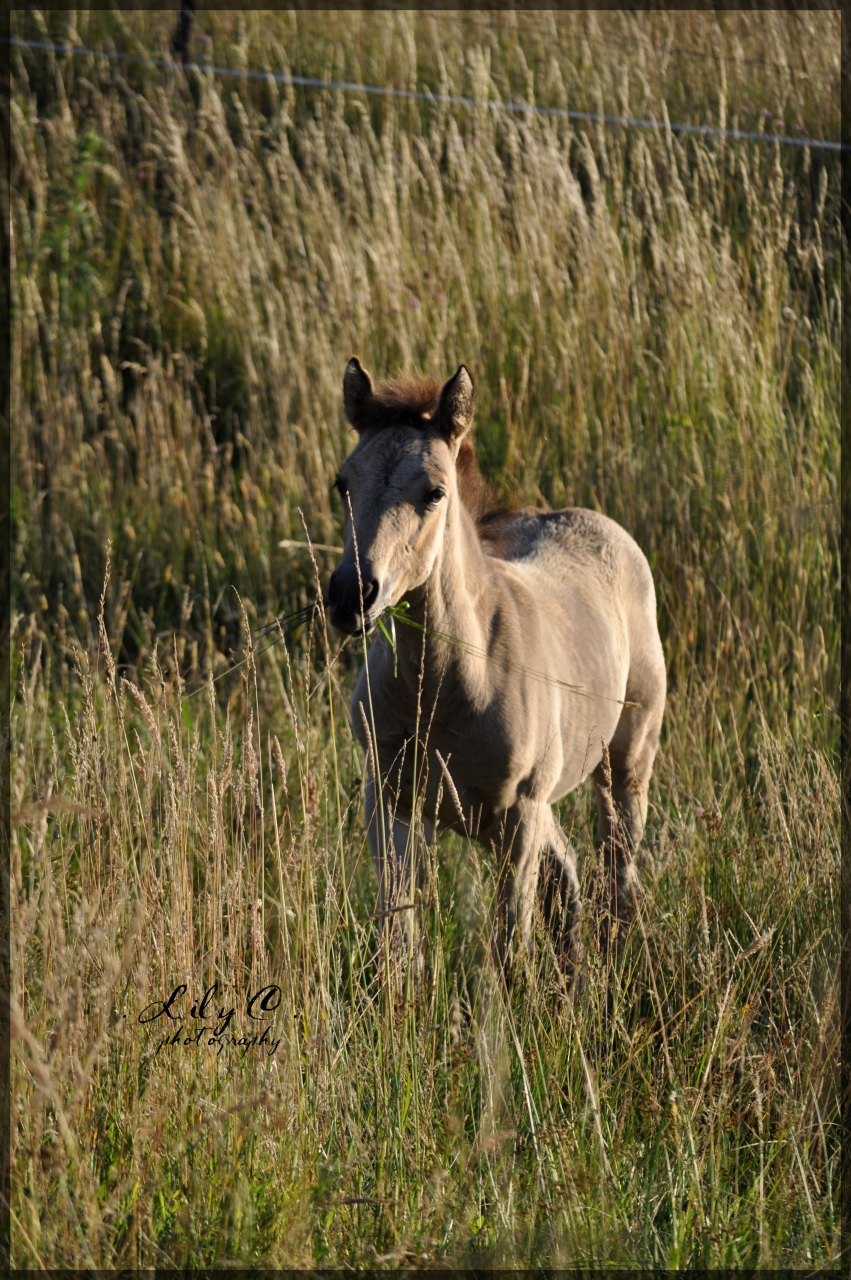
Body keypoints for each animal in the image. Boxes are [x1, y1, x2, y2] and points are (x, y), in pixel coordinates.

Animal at [328, 357, 666, 989]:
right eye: (343, 483)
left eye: (435, 491)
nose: (351, 596)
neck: (447, 691)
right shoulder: (390, 804)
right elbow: (398, 943)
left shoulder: (520, 819)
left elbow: (509, 953)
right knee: (568, 871)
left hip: (625, 765)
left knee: (618, 880)